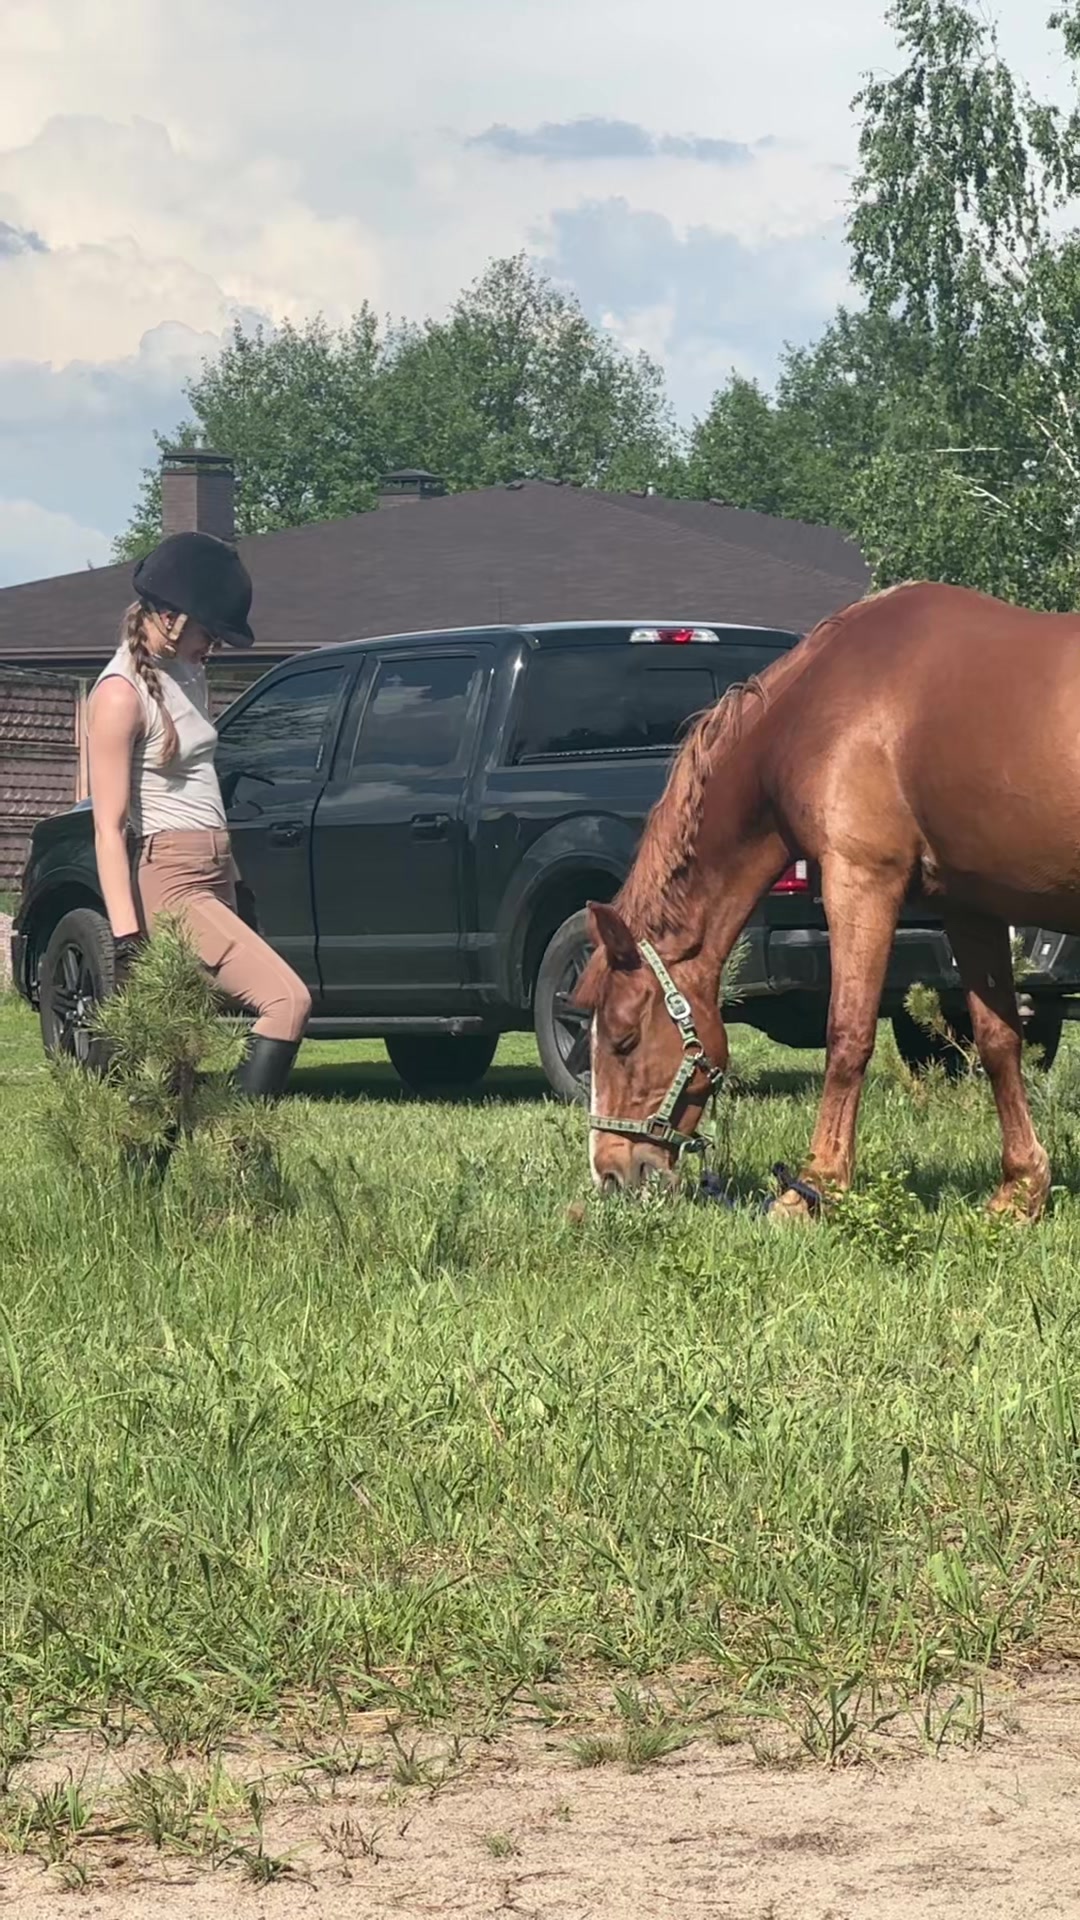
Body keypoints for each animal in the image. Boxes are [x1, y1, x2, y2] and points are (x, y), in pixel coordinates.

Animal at [574, 580, 1080, 1222]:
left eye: (624, 1041)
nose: (612, 1174)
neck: (823, 706)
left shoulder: (859, 878)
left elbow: (848, 1032)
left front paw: (812, 1187)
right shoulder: (971, 907)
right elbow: (998, 1041)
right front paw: (1019, 1191)